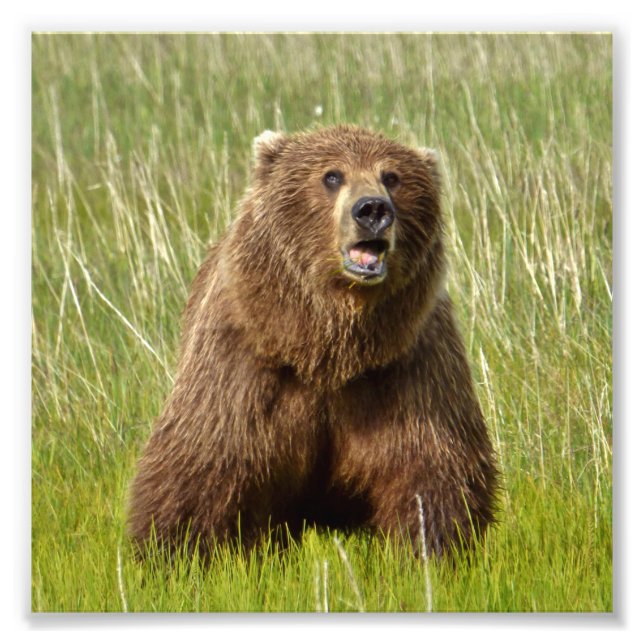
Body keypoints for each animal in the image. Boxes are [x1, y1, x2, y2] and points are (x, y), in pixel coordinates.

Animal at [127, 124, 498, 560]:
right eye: (332, 176)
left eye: (392, 176)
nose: (372, 210)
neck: (326, 348)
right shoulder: (243, 366)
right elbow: (203, 458)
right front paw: (172, 550)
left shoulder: (408, 367)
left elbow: (431, 464)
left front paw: (431, 549)